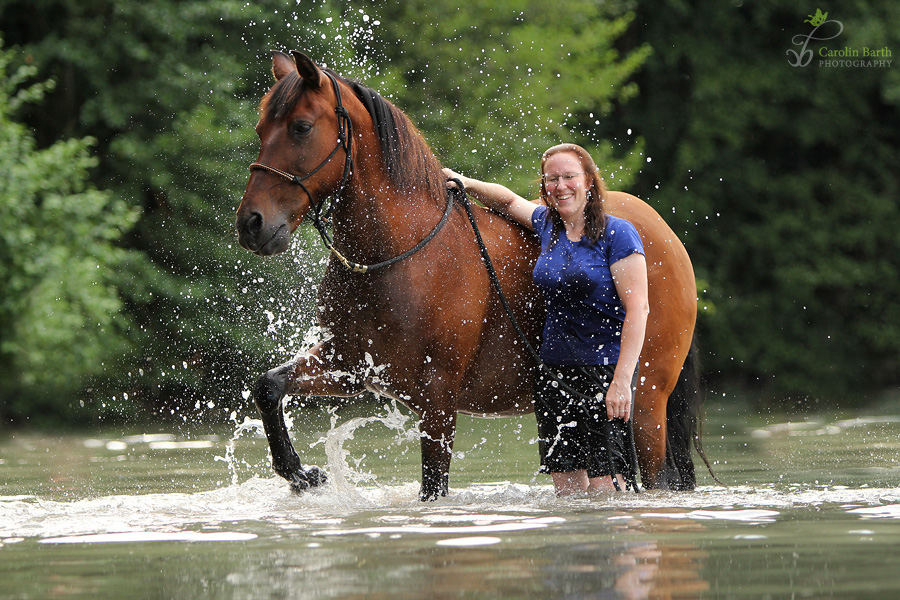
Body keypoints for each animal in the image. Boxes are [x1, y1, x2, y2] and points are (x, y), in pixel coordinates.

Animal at [232, 52, 704, 502]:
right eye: (260, 128)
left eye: (302, 127)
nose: (251, 224)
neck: (400, 255)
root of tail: (662, 234)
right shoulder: (349, 364)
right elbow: (268, 386)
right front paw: (302, 475)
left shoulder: (438, 401)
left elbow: (433, 487)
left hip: (643, 403)